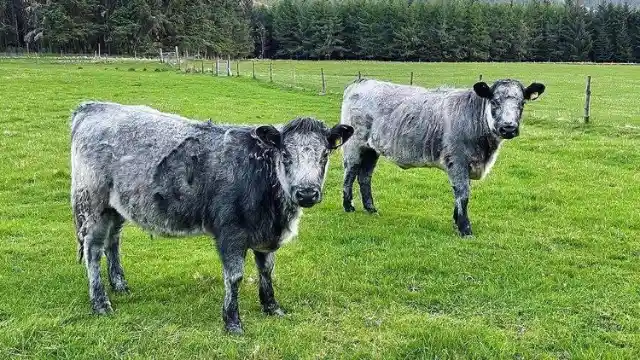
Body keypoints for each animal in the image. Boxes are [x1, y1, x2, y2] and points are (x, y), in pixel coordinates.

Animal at [70, 100, 356, 332]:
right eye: (285, 153)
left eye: (325, 154)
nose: (307, 193)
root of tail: (92, 107)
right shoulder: (231, 231)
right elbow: (235, 276)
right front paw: (232, 322)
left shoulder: (265, 233)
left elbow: (266, 270)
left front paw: (272, 307)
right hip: (92, 205)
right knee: (93, 251)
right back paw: (101, 303)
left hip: (116, 207)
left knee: (113, 242)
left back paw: (120, 285)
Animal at [340, 78, 544, 236]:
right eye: (494, 101)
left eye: (522, 103)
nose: (508, 128)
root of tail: (361, 81)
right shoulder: (458, 161)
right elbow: (463, 194)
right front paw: (465, 229)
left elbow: (461, 194)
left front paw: (456, 221)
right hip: (354, 146)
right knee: (350, 174)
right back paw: (348, 206)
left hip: (371, 150)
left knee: (365, 177)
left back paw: (371, 209)